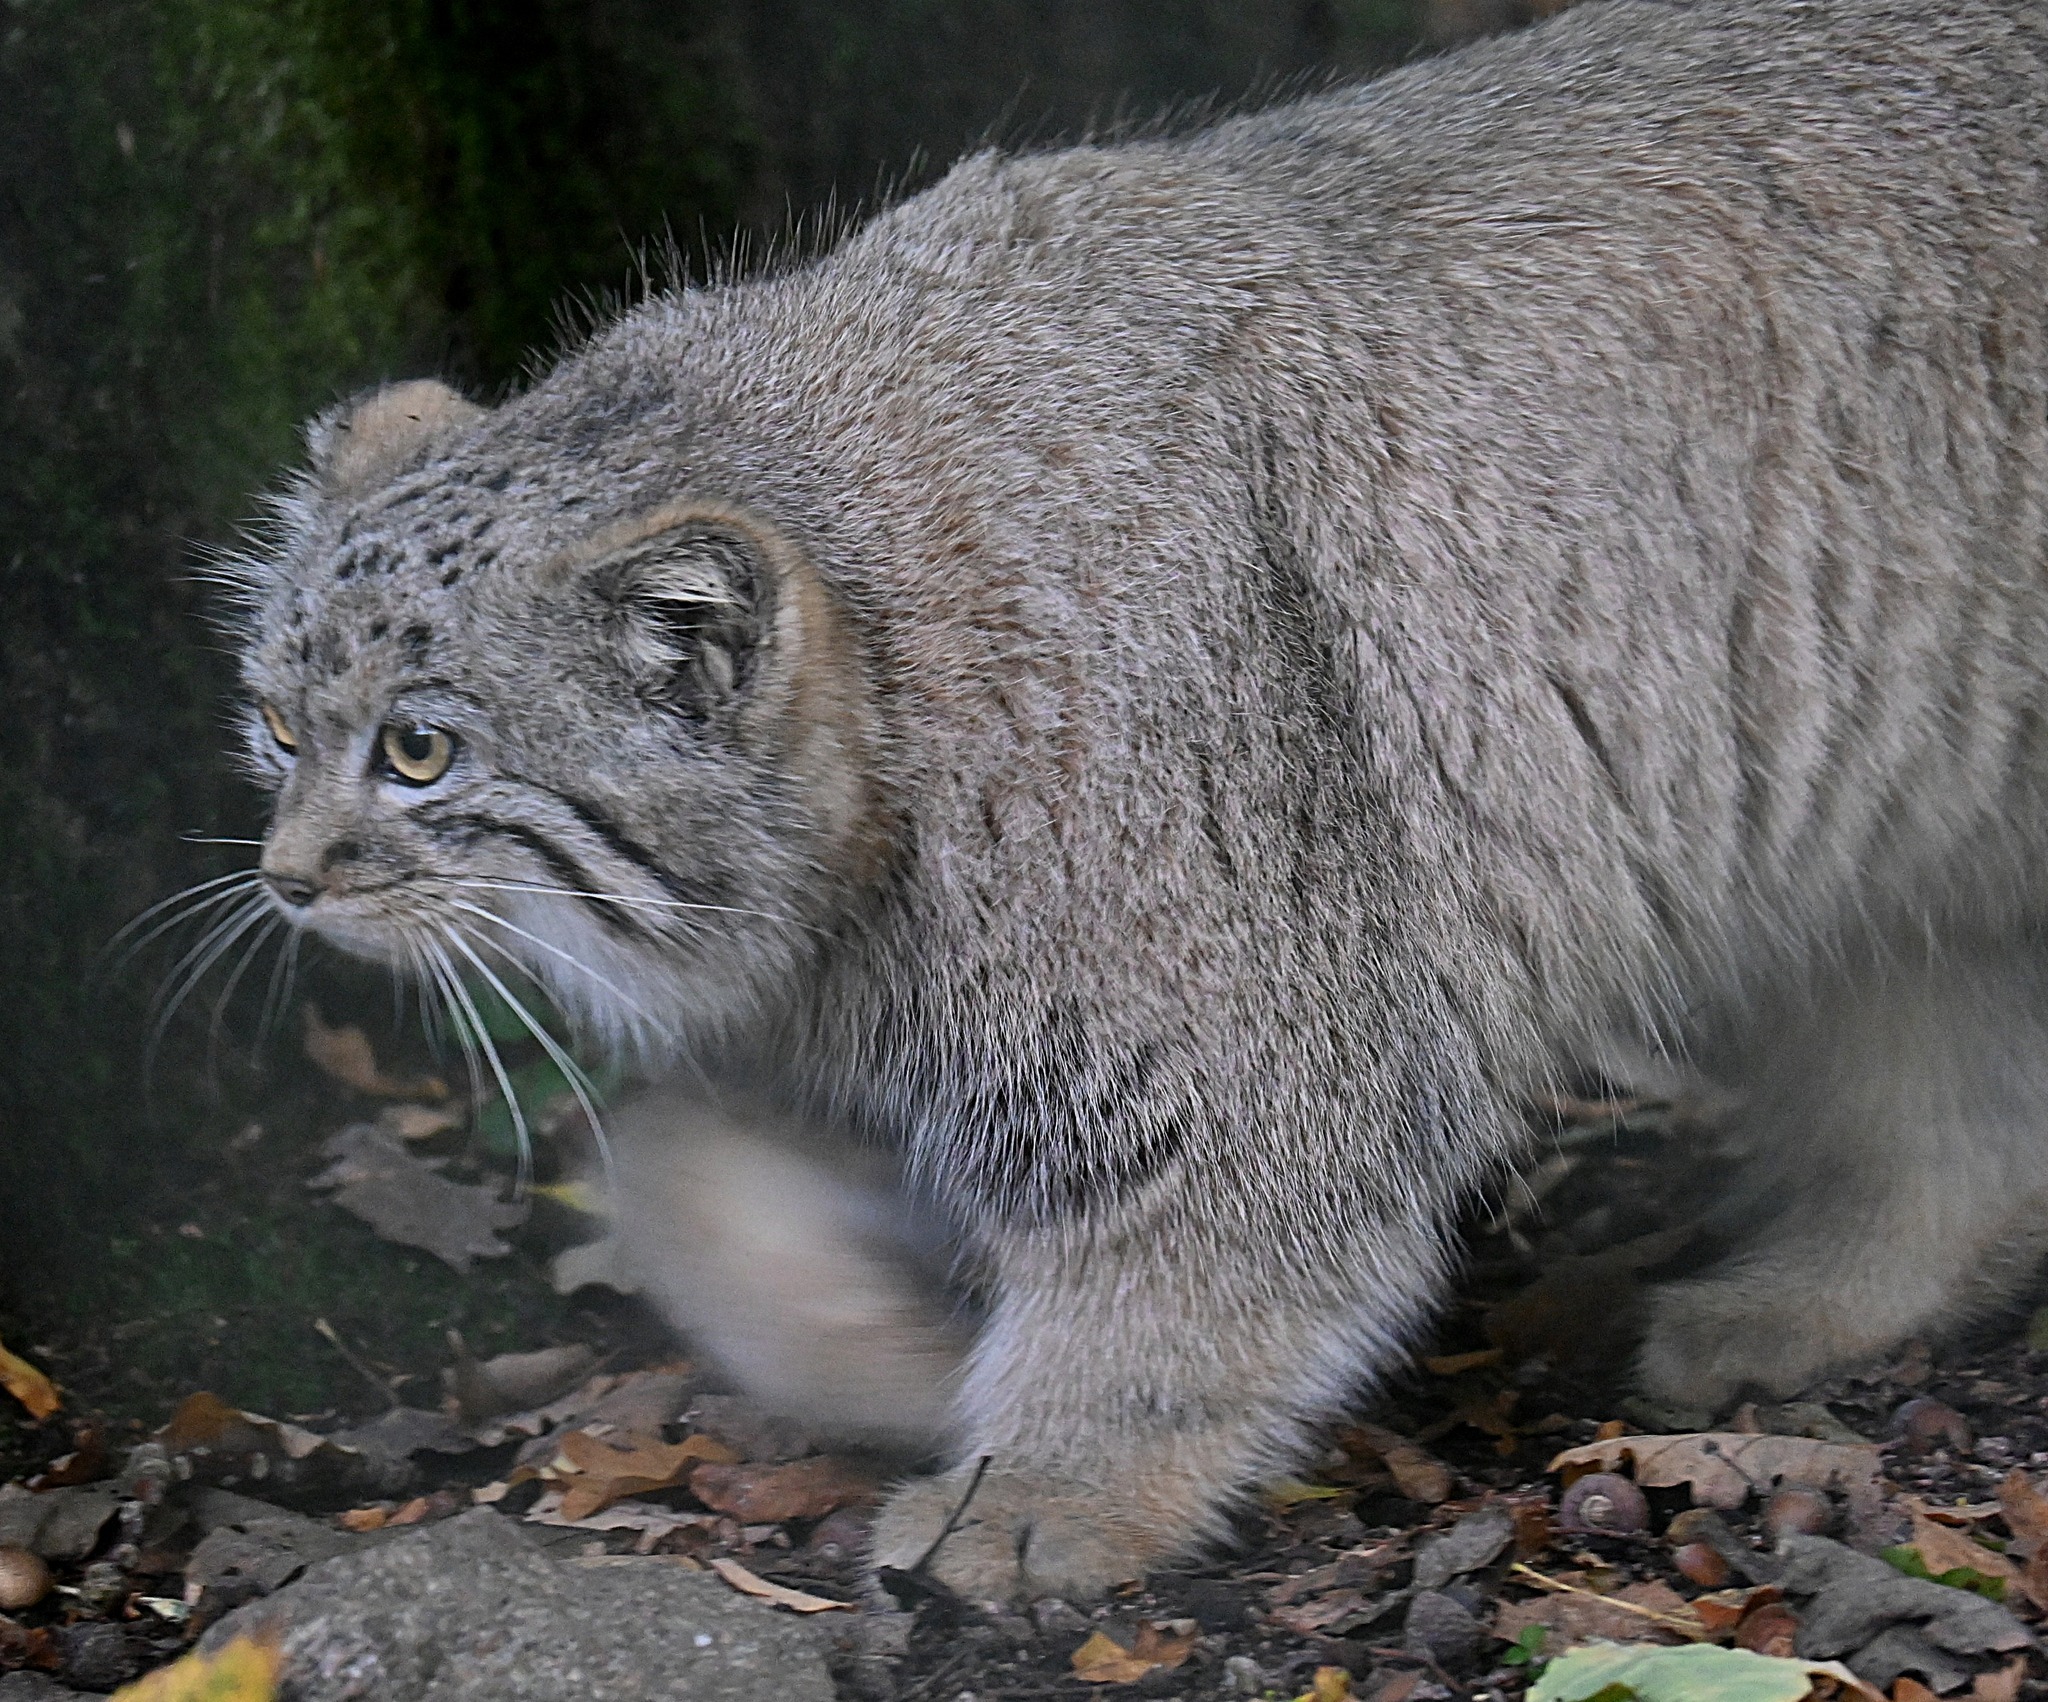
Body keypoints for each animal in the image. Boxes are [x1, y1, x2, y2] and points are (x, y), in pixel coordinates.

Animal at [228, 0, 2048, 1613]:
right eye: (277, 722)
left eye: (419, 752)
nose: (285, 874)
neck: (889, 747)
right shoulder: (883, 1028)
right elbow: (674, 1175)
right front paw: (896, 1366)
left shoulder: (1249, 1048)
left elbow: (1182, 1294)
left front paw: (1042, 1490)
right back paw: (1816, 1297)